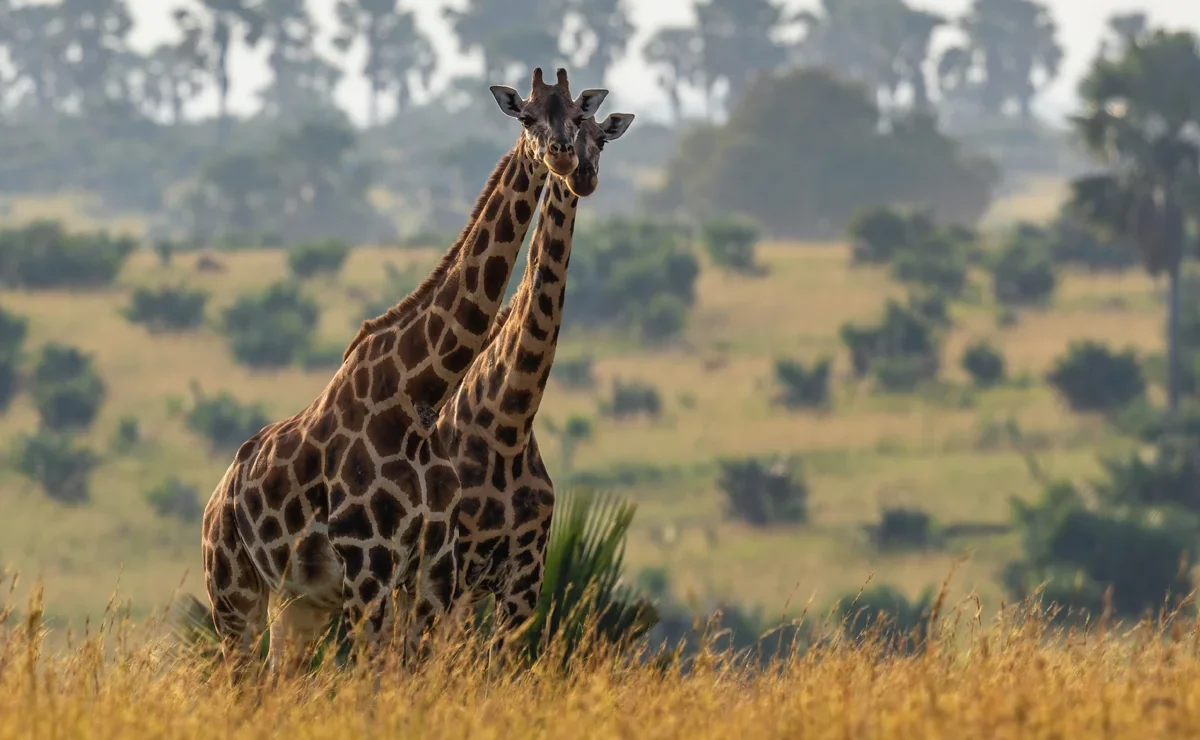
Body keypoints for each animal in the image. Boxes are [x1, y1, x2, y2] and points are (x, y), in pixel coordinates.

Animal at [201, 67, 609, 676]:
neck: (420, 395)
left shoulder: (447, 573)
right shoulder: (373, 566)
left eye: (583, 120)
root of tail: (217, 497)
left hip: (300, 603)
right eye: (527, 117)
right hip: (233, 591)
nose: (568, 160)